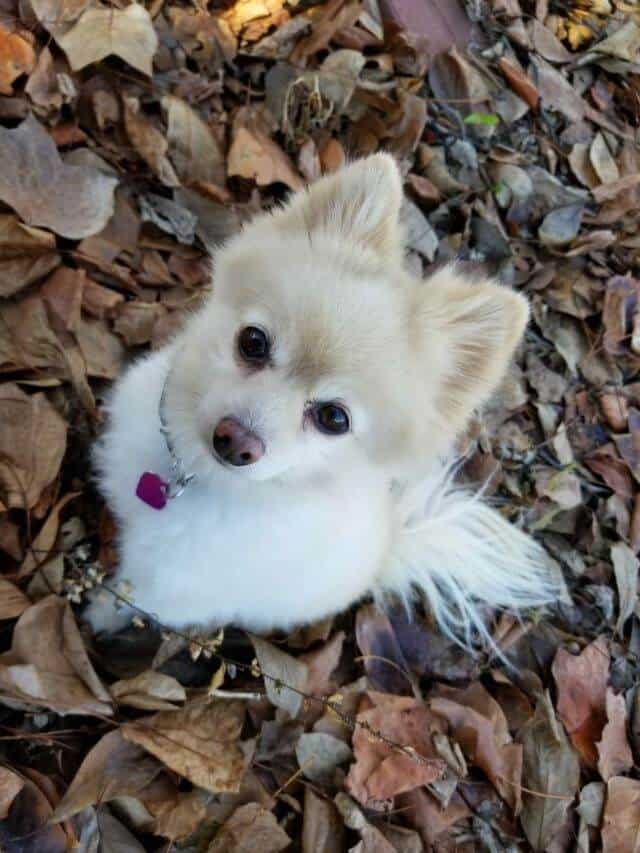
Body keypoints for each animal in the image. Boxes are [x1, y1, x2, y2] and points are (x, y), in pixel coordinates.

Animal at [86, 155, 564, 644]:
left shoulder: (172, 588)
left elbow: (129, 597)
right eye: (252, 342)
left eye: (334, 418)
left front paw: (99, 613)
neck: (194, 477)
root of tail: (389, 544)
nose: (237, 440)